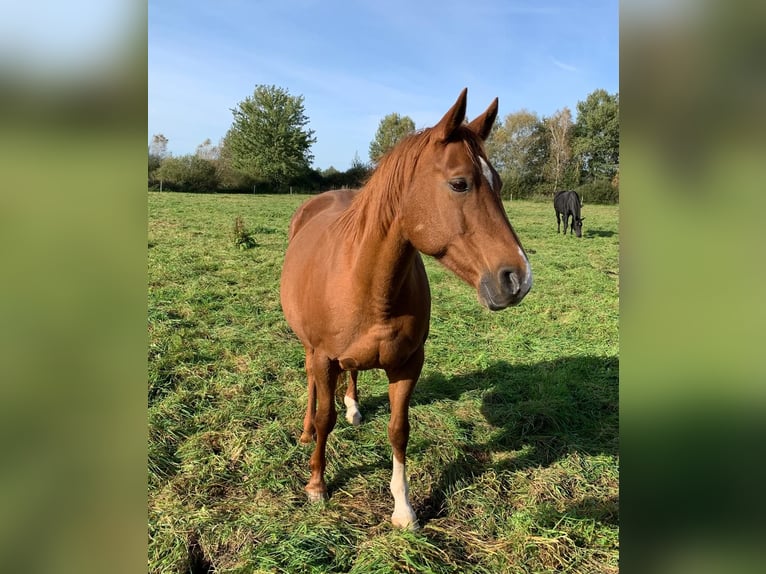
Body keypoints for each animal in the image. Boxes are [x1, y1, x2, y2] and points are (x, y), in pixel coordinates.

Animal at [280, 89, 536, 532]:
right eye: (459, 184)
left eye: (499, 184)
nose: (518, 279)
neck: (366, 280)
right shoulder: (324, 357)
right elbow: (326, 417)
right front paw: (316, 484)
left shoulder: (407, 364)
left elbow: (399, 430)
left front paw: (403, 508)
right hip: (311, 349)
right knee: (313, 386)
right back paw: (306, 430)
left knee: (352, 375)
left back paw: (354, 408)